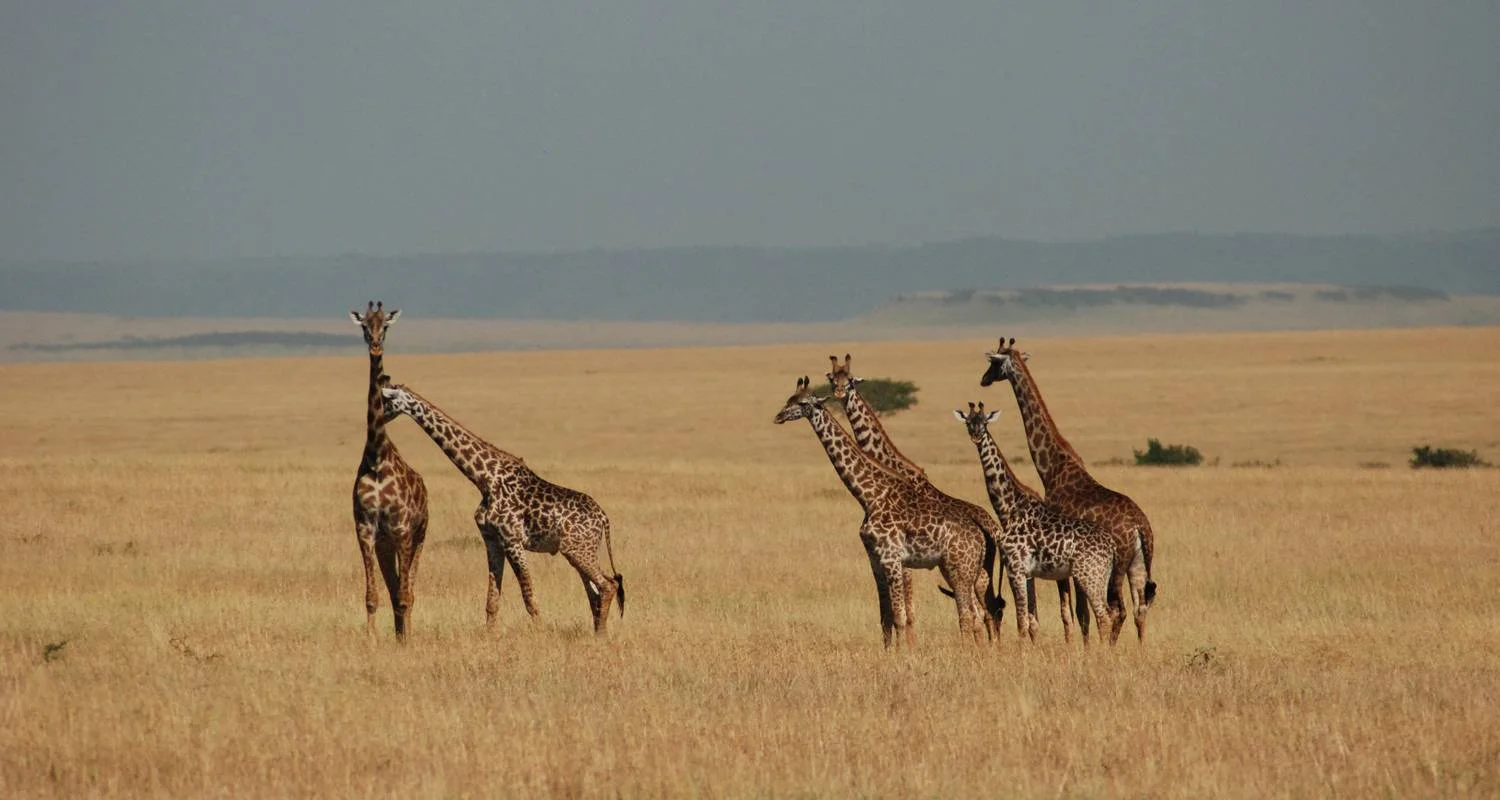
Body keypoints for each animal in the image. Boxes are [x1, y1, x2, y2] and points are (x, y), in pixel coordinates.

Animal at [379, 383, 624, 633]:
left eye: (384, 400)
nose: (377, 418)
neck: (484, 477)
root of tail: (604, 518)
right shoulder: (492, 540)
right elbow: (492, 600)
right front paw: (490, 636)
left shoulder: (512, 540)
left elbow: (529, 597)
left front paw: (541, 633)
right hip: (581, 550)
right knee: (595, 591)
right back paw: (598, 633)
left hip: (577, 549)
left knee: (608, 585)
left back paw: (601, 634)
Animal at [774, 376, 990, 647]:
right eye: (788, 399)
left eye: (803, 403)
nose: (778, 416)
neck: (869, 496)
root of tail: (981, 538)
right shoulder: (875, 560)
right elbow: (885, 616)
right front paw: (890, 652)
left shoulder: (891, 558)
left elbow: (900, 615)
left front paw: (906, 653)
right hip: (956, 568)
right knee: (977, 613)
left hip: (959, 568)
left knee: (968, 614)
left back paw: (967, 652)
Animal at [954, 402, 1122, 643]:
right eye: (968, 422)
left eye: (984, 422)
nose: (976, 436)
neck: (1009, 508)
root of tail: (1111, 546)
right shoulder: (1027, 573)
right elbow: (1032, 620)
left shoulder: (1015, 568)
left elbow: (1021, 620)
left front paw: (1022, 652)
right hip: (1099, 576)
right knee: (1108, 614)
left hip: (1089, 575)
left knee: (1104, 616)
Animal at [980, 336, 1158, 642]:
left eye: (993, 363)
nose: (983, 380)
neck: (1052, 468)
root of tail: (1140, 527)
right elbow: (1080, 612)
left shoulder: (1063, 563)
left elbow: (1071, 612)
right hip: (1137, 563)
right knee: (1139, 610)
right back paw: (1139, 650)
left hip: (1117, 567)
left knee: (1117, 610)